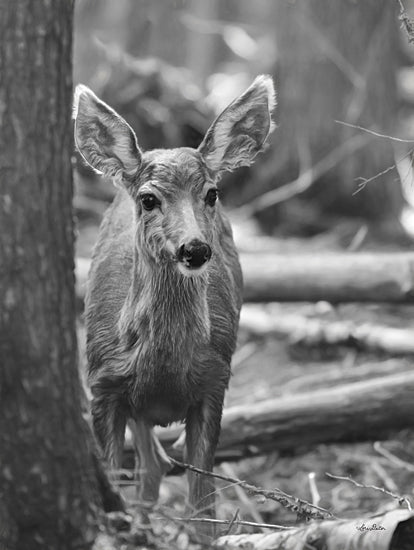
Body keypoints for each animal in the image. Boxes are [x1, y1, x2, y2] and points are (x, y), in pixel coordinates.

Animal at [74, 75, 274, 540]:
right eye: (148, 199)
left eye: (212, 193)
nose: (195, 249)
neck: (162, 368)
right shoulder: (102, 384)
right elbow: (115, 477)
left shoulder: (215, 381)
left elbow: (204, 508)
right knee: (151, 466)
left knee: (156, 465)